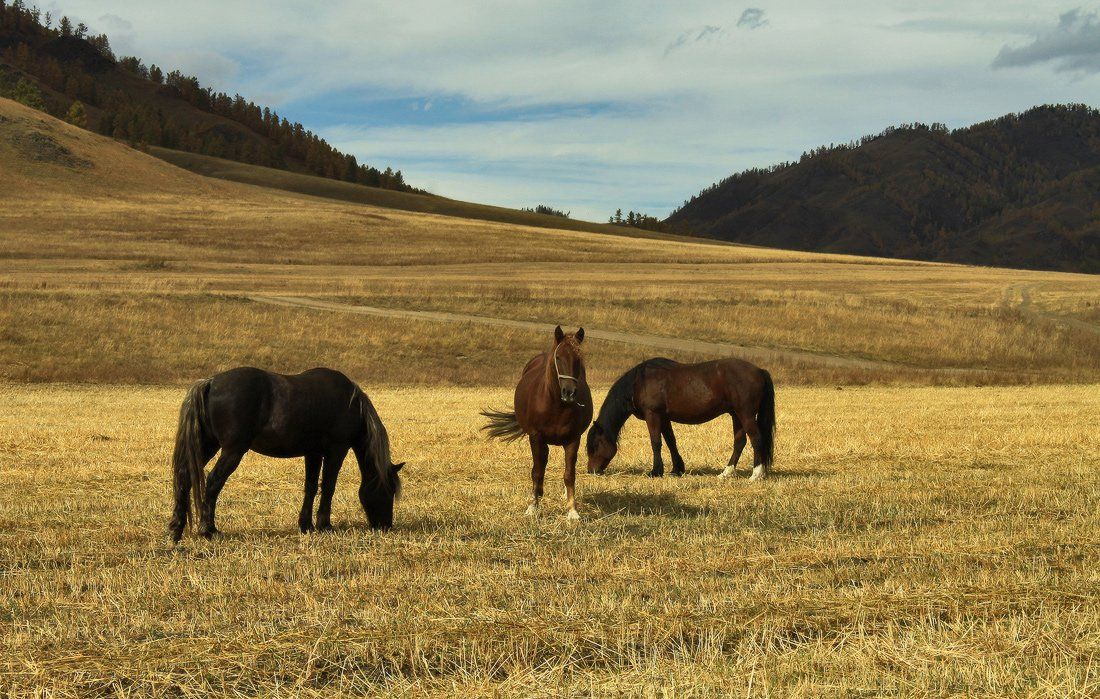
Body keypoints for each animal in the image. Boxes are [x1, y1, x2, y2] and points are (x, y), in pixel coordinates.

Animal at [173, 365, 407, 541]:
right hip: (232, 450)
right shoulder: (336, 450)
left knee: (185, 476)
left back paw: (176, 528)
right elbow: (328, 486)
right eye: (388, 490)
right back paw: (208, 529)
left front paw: (306, 525)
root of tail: (211, 382)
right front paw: (325, 525)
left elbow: (311, 487)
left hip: (208, 445)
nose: (386, 526)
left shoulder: (313, 453)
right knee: (213, 482)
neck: (350, 404)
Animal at [477, 328, 589, 519]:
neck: (556, 406)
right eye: (558, 357)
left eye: (578, 358)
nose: (569, 392)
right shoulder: (536, 437)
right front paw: (532, 506)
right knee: (541, 464)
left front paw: (572, 510)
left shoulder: (573, 439)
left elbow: (569, 474)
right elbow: (536, 471)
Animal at [585, 361, 774, 482]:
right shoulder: (664, 418)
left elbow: (656, 442)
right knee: (739, 442)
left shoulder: (653, 415)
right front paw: (677, 469)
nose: (591, 471)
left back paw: (756, 474)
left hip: (746, 414)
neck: (639, 382)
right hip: (736, 415)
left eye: (595, 445)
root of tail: (759, 370)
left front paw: (656, 471)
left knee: (757, 440)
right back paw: (726, 473)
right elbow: (671, 442)